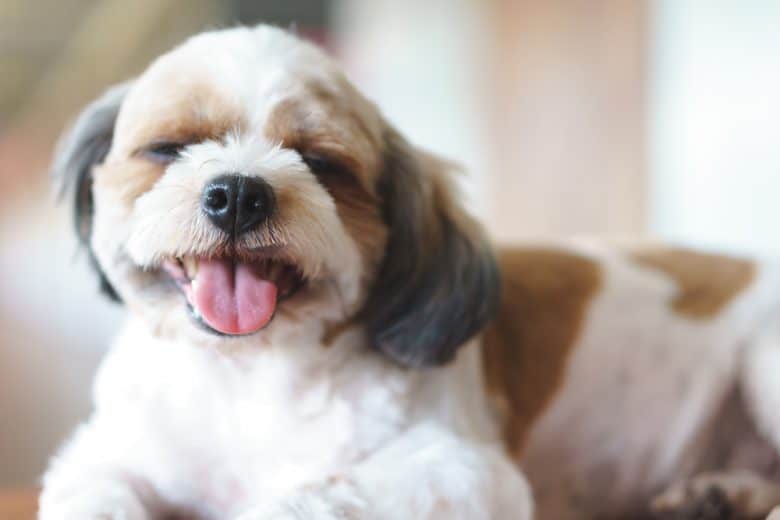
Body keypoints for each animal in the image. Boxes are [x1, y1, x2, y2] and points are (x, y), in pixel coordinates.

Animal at [41, 24, 780, 520]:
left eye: (323, 164)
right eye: (169, 148)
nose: (239, 193)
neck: (254, 376)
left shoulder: (465, 472)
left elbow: (320, 493)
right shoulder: (101, 456)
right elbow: (92, 491)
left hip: (764, 359)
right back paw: (719, 492)